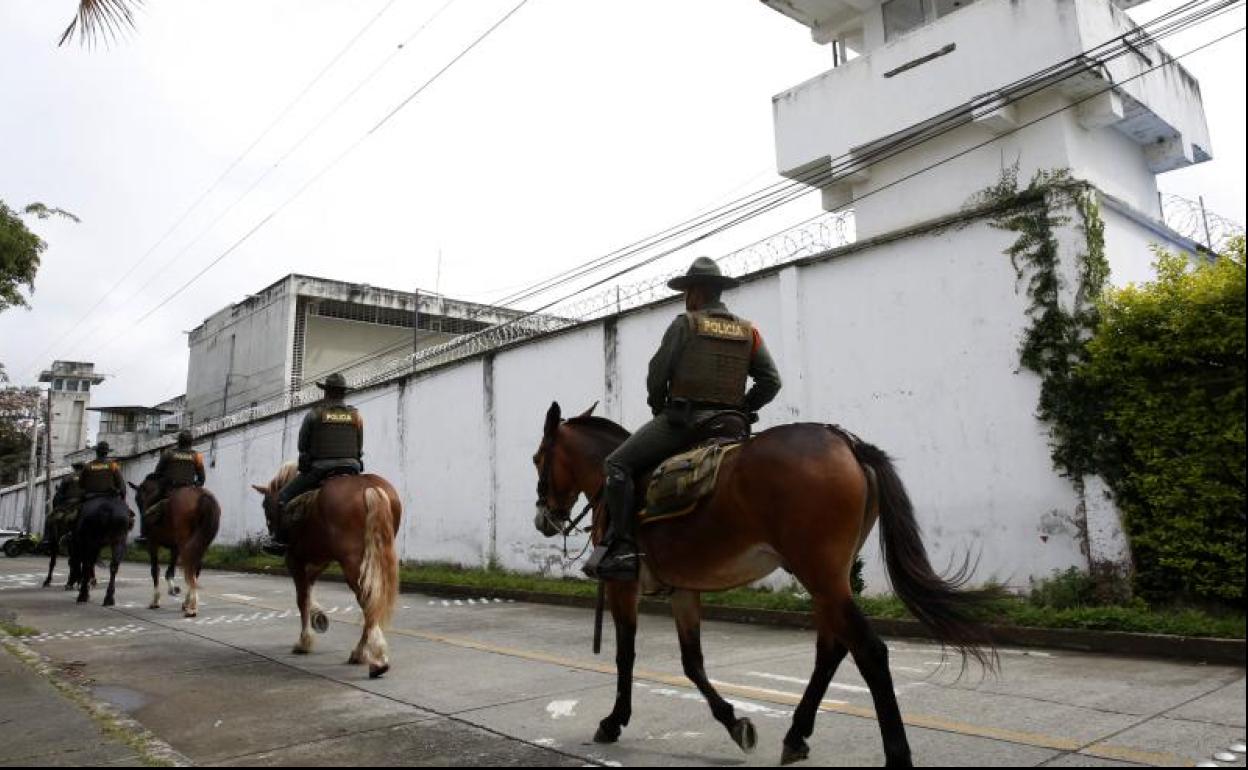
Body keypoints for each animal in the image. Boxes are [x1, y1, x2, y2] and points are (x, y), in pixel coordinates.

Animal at [136, 476, 224, 616]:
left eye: (138, 499)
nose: (143, 515)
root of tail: (201, 494)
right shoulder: (175, 548)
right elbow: (170, 571)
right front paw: (173, 589)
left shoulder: (152, 543)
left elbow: (155, 570)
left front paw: (156, 600)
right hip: (200, 543)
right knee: (194, 568)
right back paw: (188, 602)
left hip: (185, 542)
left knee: (190, 568)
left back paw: (191, 606)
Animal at [255, 459, 401, 673]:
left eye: (265, 504)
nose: (272, 534)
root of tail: (369, 487)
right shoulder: (321, 560)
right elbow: (309, 589)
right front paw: (318, 617)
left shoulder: (295, 560)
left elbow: (302, 598)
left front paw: (304, 642)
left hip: (353, 563)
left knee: (368, 600)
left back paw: (371, 657)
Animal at [531, 401, 998, 763]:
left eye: (538, 459)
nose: (544, 519)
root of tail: (845, 441)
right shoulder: (684, 590)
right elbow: (692, 663)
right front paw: (734, 722)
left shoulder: (622, 587)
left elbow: (625, 655)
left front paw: (613, 722)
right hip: (828, 578)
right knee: (831, 649)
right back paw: (796, 735)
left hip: (820, 574)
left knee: (869, 651)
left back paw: (895, 754)